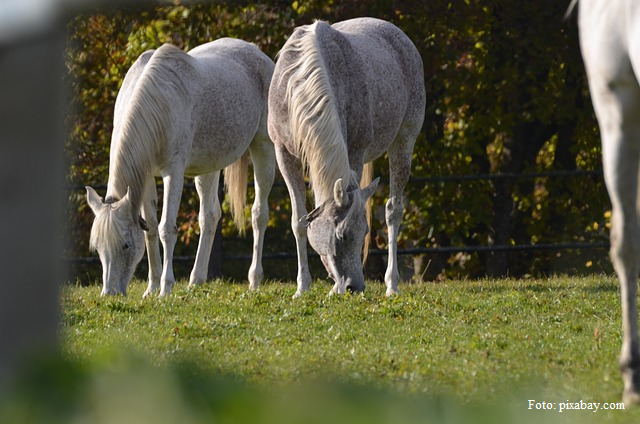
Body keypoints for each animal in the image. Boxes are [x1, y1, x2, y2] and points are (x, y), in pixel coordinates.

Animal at [85, 40, 276, 298]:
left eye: (125, 245)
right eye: (97, 247)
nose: (109, 293)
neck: (158, 104)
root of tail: (258, 53)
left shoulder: (173, 173)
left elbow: (166, 228)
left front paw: (165, 288)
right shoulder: (146, 177)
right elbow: (150, 229)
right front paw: (152, 287)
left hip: (263, 147)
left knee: (258, 214)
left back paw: (254, 280)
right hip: (209, 167)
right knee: (209, 216)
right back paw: (196, 280)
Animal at [268, 18, 424, 296]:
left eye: (363, 233)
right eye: (340, 236)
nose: (354, 286)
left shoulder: (355, 152)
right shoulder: (283, 153)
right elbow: (299, 222)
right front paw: (302, 287)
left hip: (404, 140)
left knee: (393, 211)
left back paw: (392, 285)